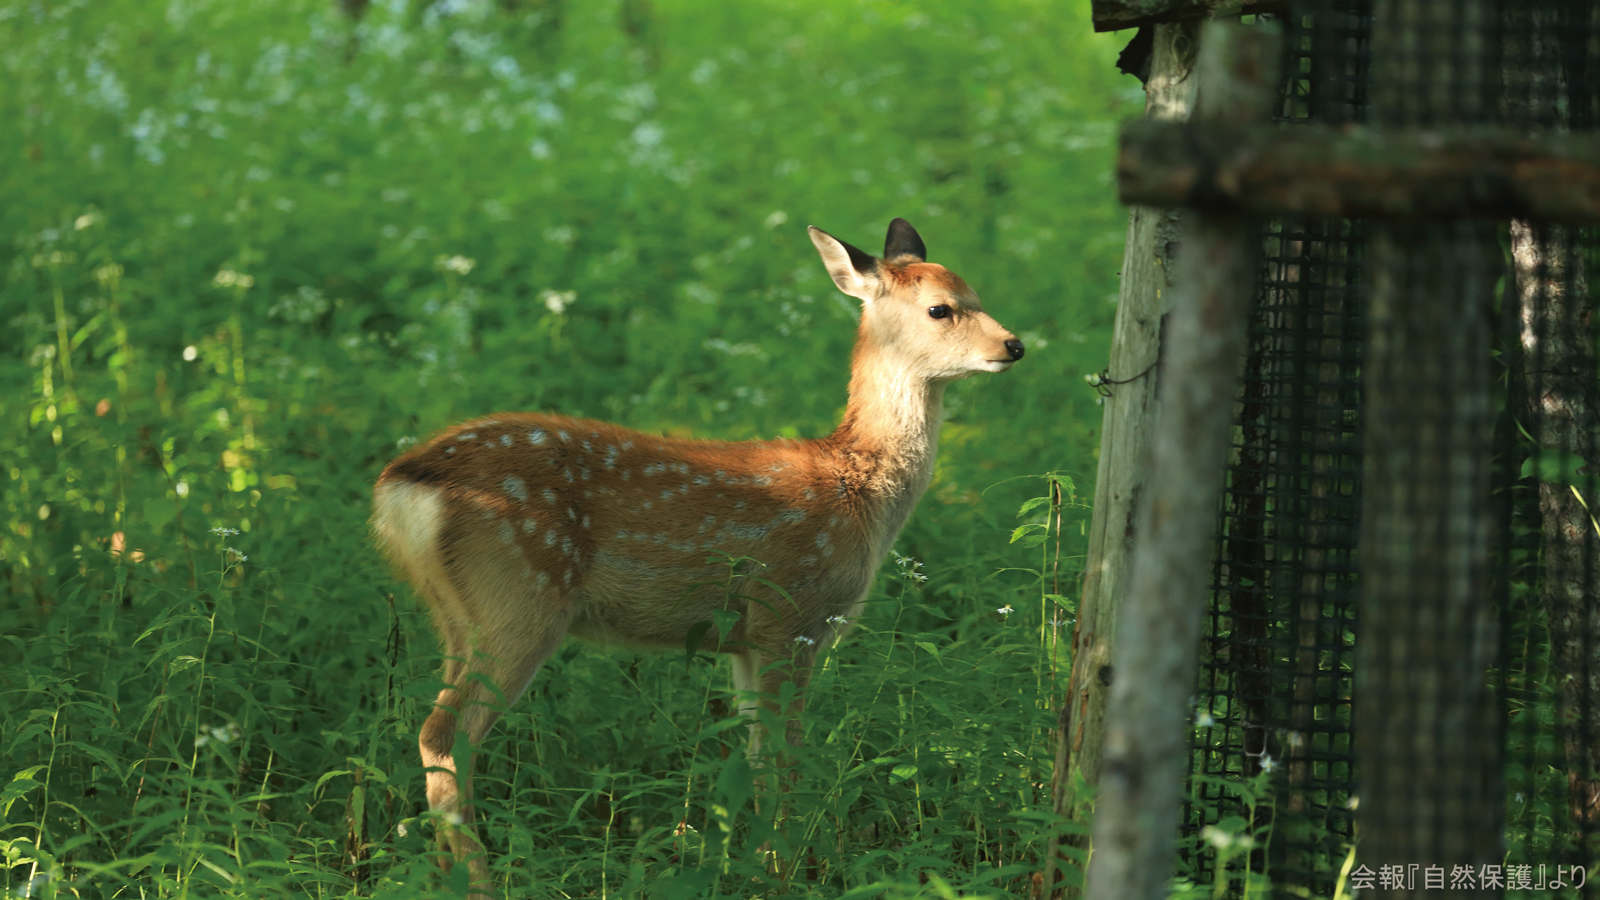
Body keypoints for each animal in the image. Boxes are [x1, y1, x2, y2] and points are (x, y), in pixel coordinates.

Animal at [370, 218, 1025, 889]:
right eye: (940, 308)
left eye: (975, 292)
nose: (1014, 345)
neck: (857, 490)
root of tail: (404, 483)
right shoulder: (792, 615)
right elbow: (784, 758)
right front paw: (786, 869)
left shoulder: (745, 638)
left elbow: (755, 757)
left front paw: (755, 862)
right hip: (519, 598)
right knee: (444, 735)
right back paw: (481, 881)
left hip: (457, 614)